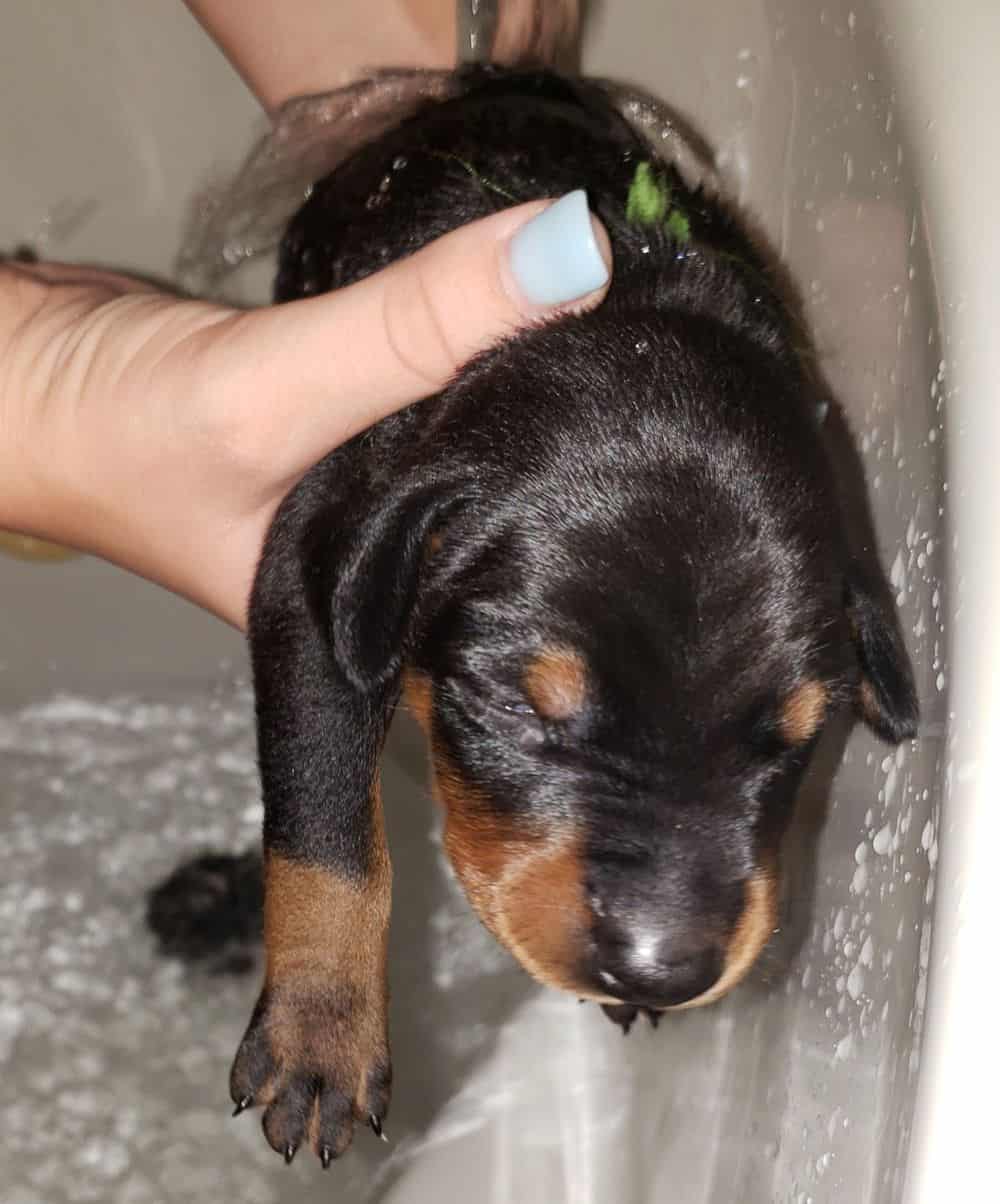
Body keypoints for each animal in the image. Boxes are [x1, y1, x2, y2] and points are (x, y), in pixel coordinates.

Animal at [222, 63, 919, 1165]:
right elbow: (323, 807)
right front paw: (320, 1031)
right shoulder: (307, 568)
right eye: (517, 706)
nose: (663, 965)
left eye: (795, 742)